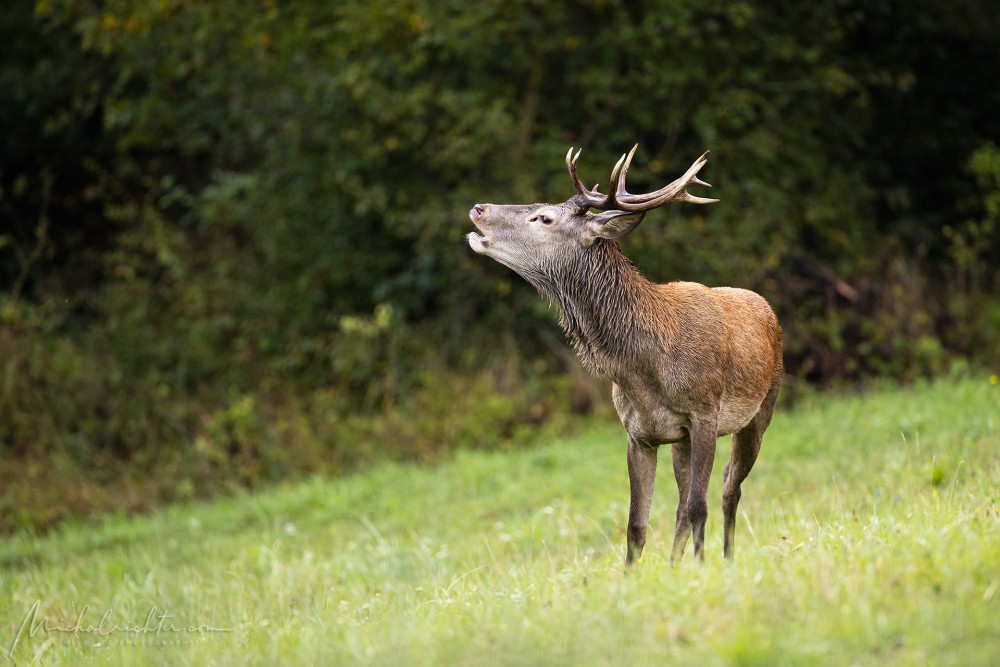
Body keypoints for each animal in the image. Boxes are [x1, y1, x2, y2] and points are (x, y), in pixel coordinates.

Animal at [464, 145, 784, 564]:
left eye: (544, 217)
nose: (477, 208)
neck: (641, 368)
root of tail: (767, 307)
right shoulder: (638, 434)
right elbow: (637, 525)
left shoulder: (705, 415)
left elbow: (699, 507)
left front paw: (703, 569)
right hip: (681, 440)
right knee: (682, 506)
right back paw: (674, 567)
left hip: (761, 410)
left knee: (729, 485)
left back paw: (727, 559)